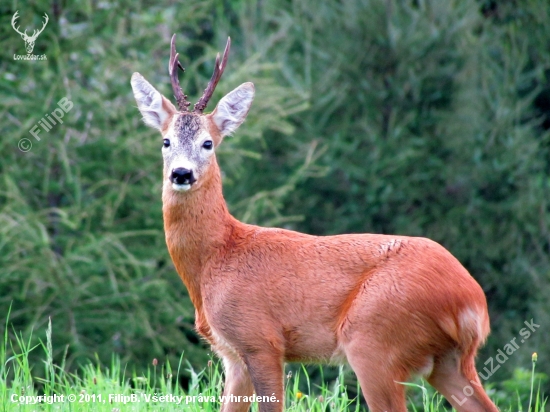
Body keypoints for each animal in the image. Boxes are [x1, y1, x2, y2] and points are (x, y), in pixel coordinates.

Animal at [132, 35, 502, 412]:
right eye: (165, 141)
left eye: (208, 142)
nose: (181, 173)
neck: (217, 256)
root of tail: (472, 301)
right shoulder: (231, 354)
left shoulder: (260, 339)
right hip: (447, 361)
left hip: (374, 341)